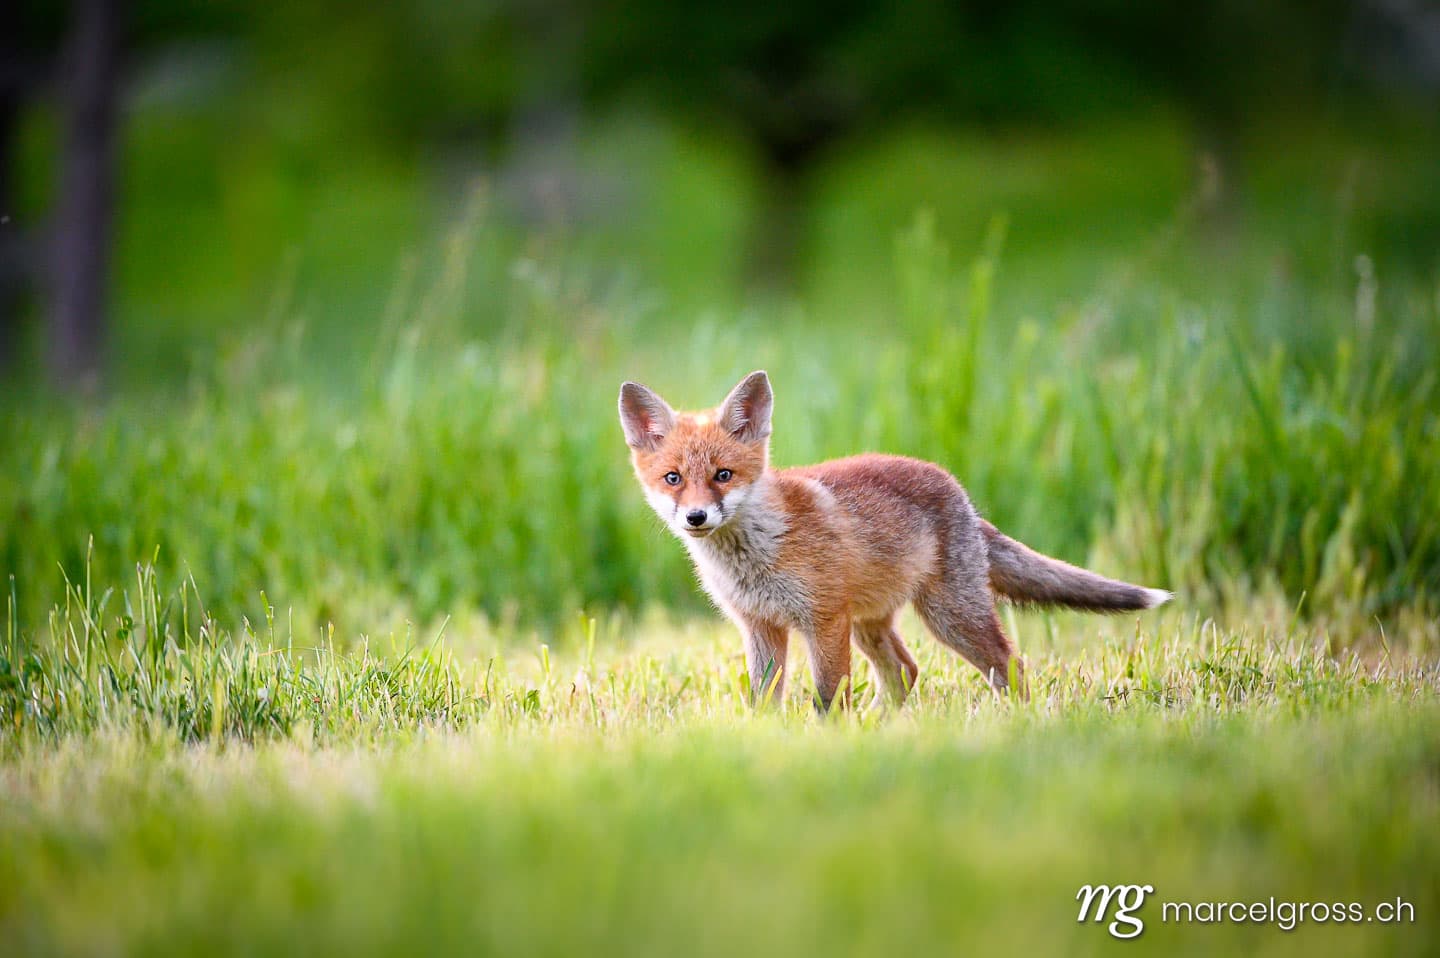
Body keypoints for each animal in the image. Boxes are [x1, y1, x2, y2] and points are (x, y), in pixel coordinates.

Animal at [618, 370, 1170, 710]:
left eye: (723, 475)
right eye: (673, 478)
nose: (696, 517)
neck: (756, 553)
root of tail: (960, 493)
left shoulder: (824, 620)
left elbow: (828, 698)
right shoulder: (761, 628)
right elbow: (763, 703)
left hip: (950, 617)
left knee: (1010, 666)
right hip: (872, 624)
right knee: (906, 671)